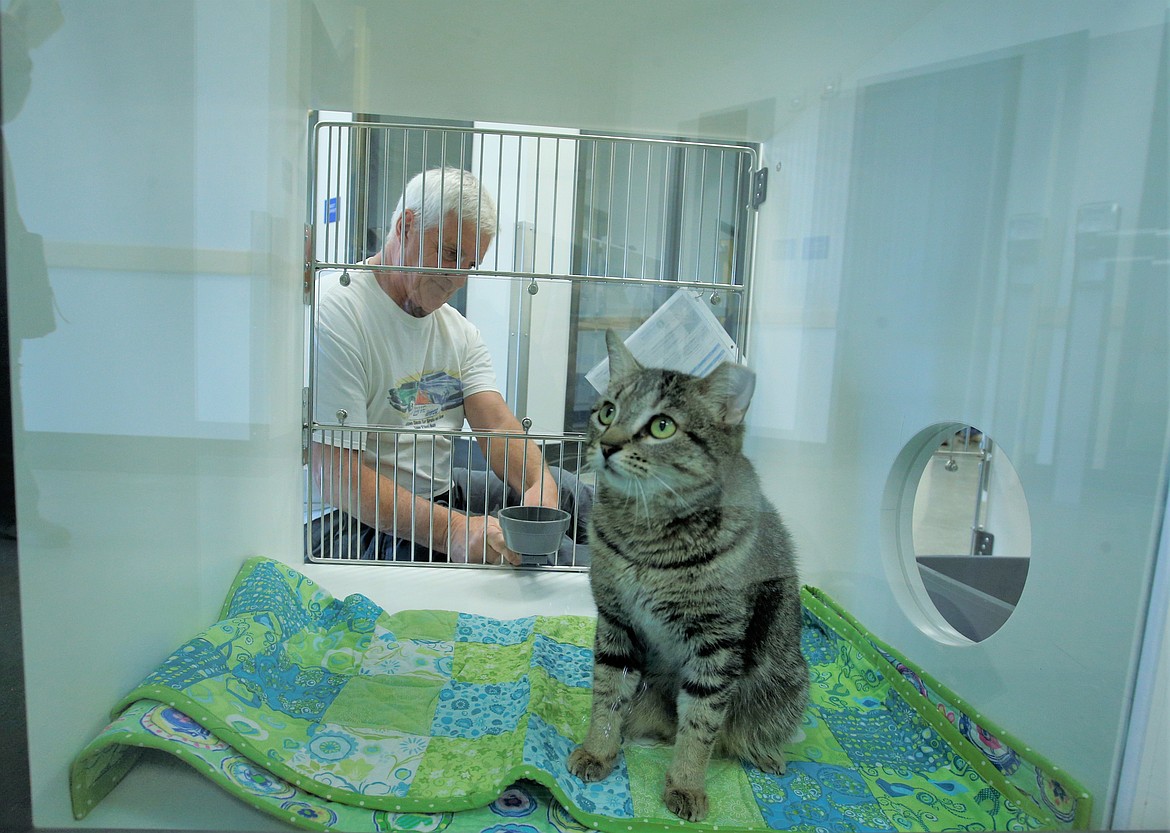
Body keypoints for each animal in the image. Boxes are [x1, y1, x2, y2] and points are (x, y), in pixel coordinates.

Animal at [563, 327, 804, 823]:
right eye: (607, 410)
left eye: (662, 426)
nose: (608, 444)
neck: (645, 537)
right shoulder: (615, 624)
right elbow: (607, 697)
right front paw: (598, 750)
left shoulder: (716, 645)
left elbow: (700, 725)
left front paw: (687, 786)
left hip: (785, 686)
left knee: (740, 733)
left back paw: (766, 754)